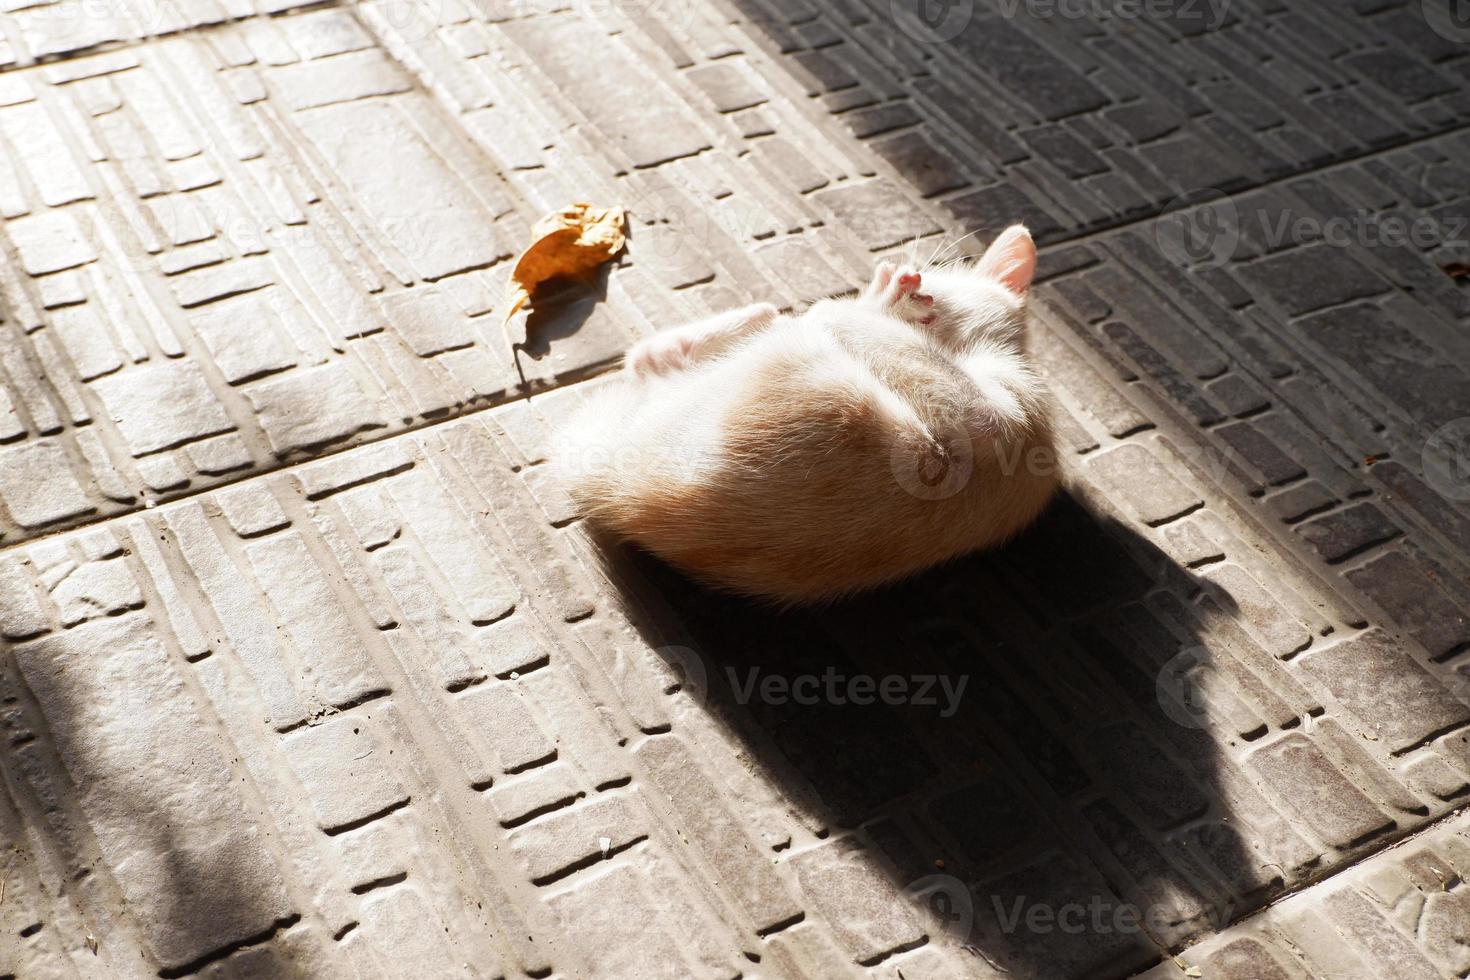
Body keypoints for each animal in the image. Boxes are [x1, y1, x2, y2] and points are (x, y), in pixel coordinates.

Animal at [558, 224, 1058, 605]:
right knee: (655, 357)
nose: (908, 283)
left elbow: (856, 323)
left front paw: (867, 302)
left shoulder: (1000, 420)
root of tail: (620, 488)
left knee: (651, 361)